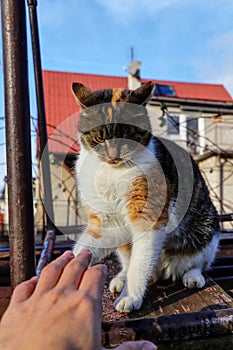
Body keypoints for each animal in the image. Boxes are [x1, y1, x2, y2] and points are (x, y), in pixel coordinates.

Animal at [71, 80, 220, 314]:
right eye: (99, 137)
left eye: (128, 135)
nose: (113, 155)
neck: (112, 171)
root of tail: (162, 269)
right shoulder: (105, 221)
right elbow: (87, 245)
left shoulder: (149, 216)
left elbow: (139, 264)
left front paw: (130, 297)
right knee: (127, 259)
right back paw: (121, 278)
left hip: (207, 229)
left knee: (199, 261)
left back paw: (192, 276)